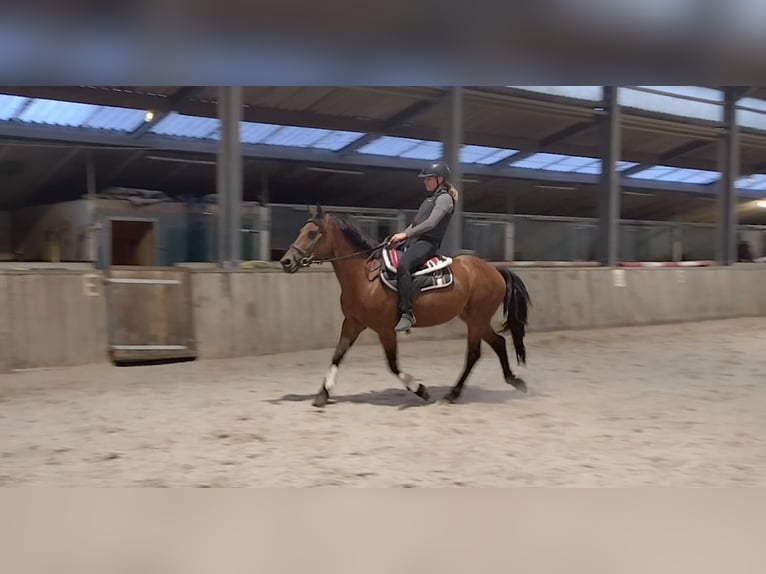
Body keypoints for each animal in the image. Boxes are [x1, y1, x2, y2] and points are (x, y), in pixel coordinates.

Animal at [282, 207, 536, 410]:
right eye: (301, 230)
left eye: (312, 233)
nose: (286, 261)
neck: (365, 279)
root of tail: (494, 270)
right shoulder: (353, 323)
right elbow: (337, 355)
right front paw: (322, 394)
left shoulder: (385, 329)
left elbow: (393, 365)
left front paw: (421, 389)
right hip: (474, 319)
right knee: (498, 343)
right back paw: (515, 381)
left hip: (477, 319)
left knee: (474, 354)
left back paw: (452, 395)